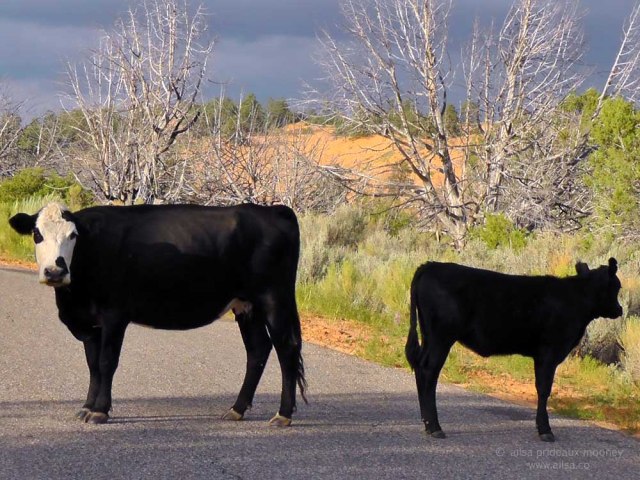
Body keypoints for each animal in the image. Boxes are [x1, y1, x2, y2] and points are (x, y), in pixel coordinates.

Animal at [9, 202, 307, 426]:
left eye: (73, 236)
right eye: (37, 234)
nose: (55, 271)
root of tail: (273, 210)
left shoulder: (114, 315)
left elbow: (106, 362)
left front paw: (100, 410)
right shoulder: (90, 323)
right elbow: (92, 365)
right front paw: (87, 406)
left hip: (273, 298)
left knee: (286, 347)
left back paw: (283, 414)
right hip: (246, 305)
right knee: (258, 350)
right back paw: (237, 409)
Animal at [405, 259, 623, 442]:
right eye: (617, 287)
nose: (619, 310)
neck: (575, 299)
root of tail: (430, 265)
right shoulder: (549, 353)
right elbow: (544, 389)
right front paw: (545, 430)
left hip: (429, 336)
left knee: (420, 367)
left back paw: (427, 424)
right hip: (441, 337)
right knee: (429, 371)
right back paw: (435, 427)